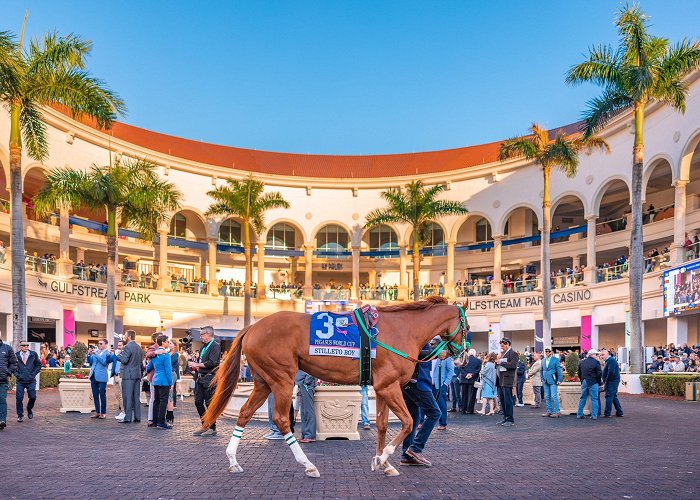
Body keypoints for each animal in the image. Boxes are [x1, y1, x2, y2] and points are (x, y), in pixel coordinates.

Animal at [200, 294, 468, 478]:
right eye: (465, 327)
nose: (463, 356)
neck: (402, 330)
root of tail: (252, 327)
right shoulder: (389, 386)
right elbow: (409, 422)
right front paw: (383, 458)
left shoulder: (382, 386)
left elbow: (382, 425)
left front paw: (383, 463)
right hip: (281, 378)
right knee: (282, 419)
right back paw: (308, 465)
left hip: (263, 381)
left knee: (245, 413)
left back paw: (233, 460)